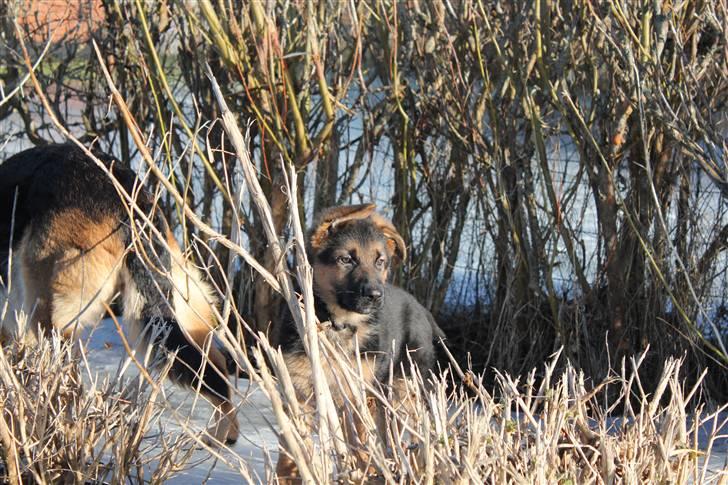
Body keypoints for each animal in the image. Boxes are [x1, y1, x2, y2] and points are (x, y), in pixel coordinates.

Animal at [0, 143, 238, 445]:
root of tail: (126, 192)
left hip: (48, 316)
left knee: (64, 385)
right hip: (183, 307)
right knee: (214, 368)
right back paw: (224, 434)